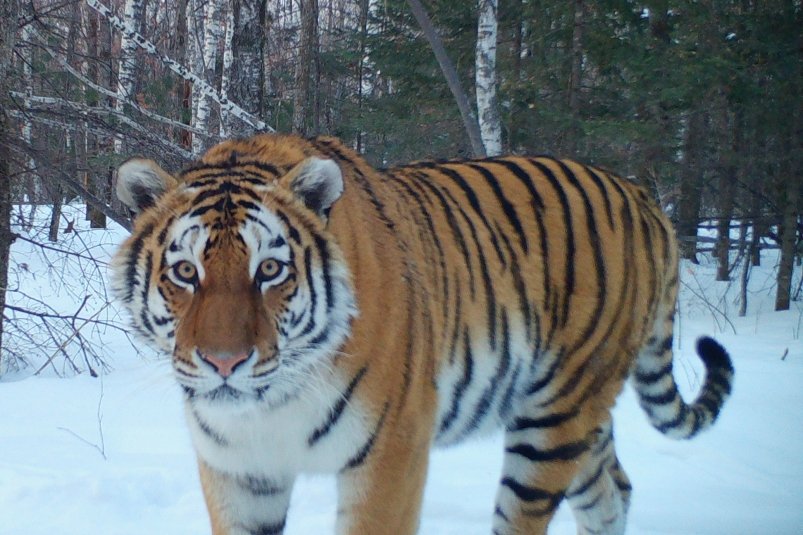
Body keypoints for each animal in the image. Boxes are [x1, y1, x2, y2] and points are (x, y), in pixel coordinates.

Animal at [111, 133, 733, 535]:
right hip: (580, 419)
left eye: (269, 270)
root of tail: (641, 196)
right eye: (185, 272)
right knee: (611, 492)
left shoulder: (390, 454)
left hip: (555, 420)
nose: (225, 363)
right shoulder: (239, 472)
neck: (273, 404)